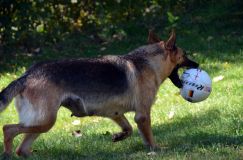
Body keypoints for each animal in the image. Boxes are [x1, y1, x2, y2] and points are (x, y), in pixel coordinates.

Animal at [0, 30, 197, 157]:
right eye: (185, 54)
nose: (197, 64)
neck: (148, 61)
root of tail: (27, 74)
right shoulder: (142, 115)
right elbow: (149, 137)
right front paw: (156, 149)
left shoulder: (116, 114)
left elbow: (128, 129)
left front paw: (119, 136)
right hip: (46, 121)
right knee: (8, 129)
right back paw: (7, 152)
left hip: (40, 123)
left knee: (22, 149)